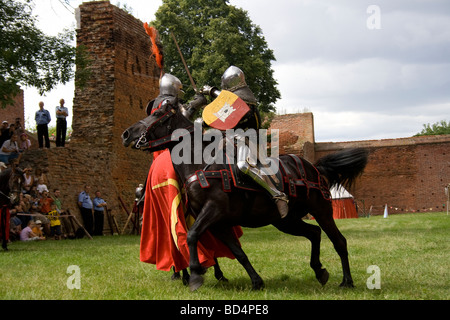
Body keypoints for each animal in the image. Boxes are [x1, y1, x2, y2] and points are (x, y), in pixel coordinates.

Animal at [121, 101, 368, 292]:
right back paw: (319, 271)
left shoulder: (213, 211)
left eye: (156, 114)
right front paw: (256, 281)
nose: (126, 134)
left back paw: (347, 281)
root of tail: (313, 168)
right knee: (314, 233)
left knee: (338, 241)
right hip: (285, 220)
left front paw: (196, 275)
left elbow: (191, 236)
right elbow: (238, 252)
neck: (200, 165)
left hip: (322, 210)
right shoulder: (218, 223)